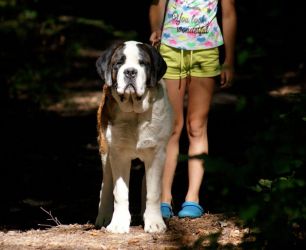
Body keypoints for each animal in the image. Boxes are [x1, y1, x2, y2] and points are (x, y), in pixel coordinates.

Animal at [94, 40, 173, 233]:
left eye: (142, 63)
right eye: (119, 63)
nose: (130, 71)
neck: (134, 115)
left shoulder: (157, 153)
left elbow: (153, 192)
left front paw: (155, 222)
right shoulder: (118, 154)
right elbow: (120, 192)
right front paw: (118, 223)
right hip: (105, 151)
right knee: (106, 184)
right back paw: (104, 216)